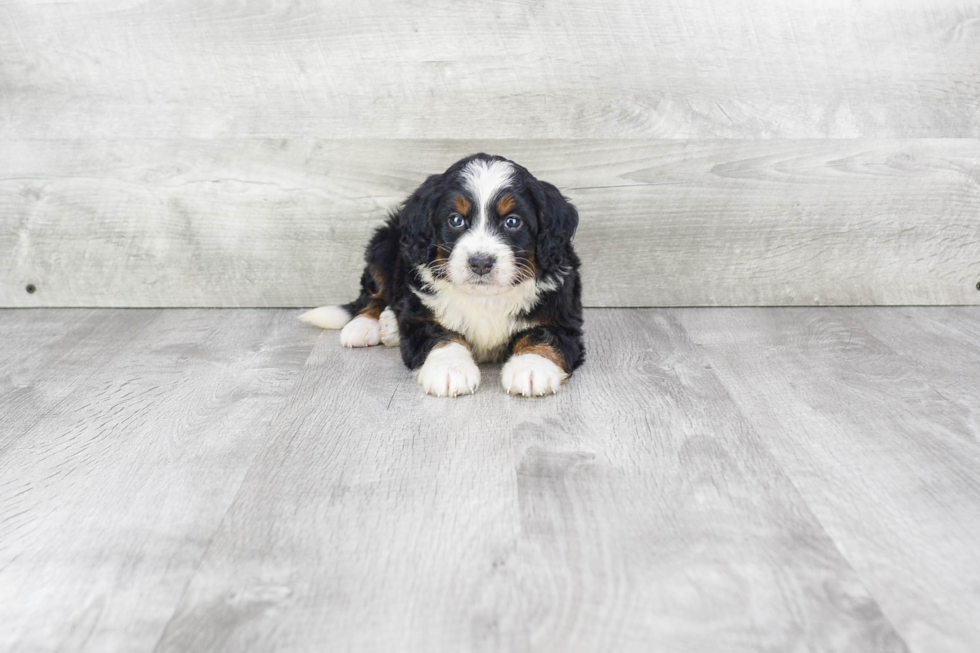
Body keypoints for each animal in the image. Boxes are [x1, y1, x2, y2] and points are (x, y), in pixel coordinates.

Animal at [300, 153, 580, 398]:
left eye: (512, 222)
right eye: (455, 220)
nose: (480, 263)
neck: (485, 298)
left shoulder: (561, 315)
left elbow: (543, 336)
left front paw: (531, 369)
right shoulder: (422, 317)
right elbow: (441, 336)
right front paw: (449, 370)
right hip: (384, 244)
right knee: (373, 292)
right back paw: (364, 325)